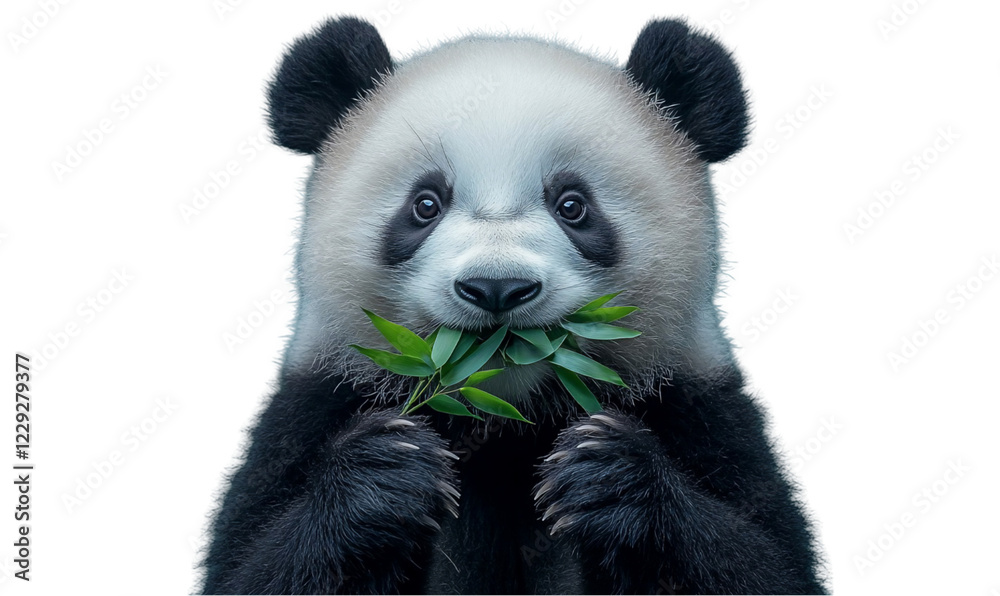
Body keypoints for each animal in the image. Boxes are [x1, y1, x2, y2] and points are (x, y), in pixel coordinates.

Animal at [202, 16, 826, 595]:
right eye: (425, 204)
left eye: (573, 205)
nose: (497, 287)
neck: (505, 414)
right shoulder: (314, 407)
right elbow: (250, 569)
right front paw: (385, 472)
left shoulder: (698, 409)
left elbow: (771, 564)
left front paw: (609, 475)